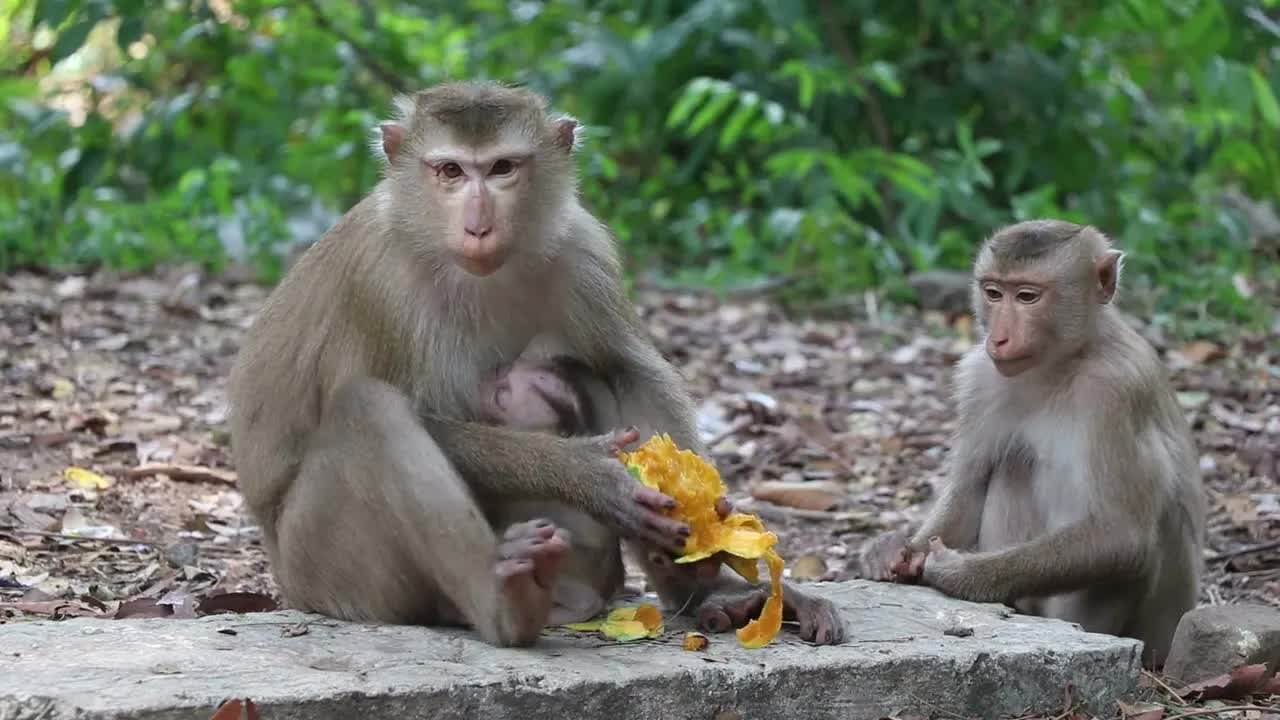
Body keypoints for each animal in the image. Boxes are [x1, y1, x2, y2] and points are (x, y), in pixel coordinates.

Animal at [227, 82, 849, 645]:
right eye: (450, 171)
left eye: (502, 168)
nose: (479, 224)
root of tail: (286, 577)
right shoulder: (378, 284)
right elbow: (423, 417)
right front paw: (586, 475)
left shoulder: (583, 248)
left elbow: (630, 369)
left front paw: (705, 529)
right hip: (326, 567)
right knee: (367, 409)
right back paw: (507, 607)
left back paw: (701, 594)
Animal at [855, 220, 1203, 666]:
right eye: (993, 293)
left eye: (1027, 297)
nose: (999, 338)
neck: (1061, 364)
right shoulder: (980, 378)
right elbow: (968, 493)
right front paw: (896, 551)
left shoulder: (1117, 390)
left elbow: (1124, 535)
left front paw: (963, 574)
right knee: (1012, 464)